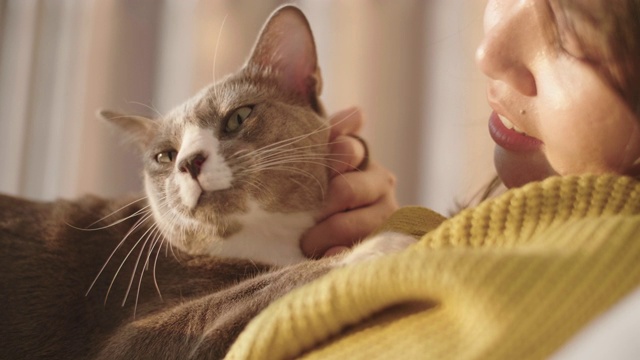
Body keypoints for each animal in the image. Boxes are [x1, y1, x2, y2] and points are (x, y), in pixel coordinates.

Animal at [0, 6, 416, 360]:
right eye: (164, 156)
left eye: (238, 117)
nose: (189, 162)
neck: (269, 242)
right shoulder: (131, 332)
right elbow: (248, 292)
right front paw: (384, 246)